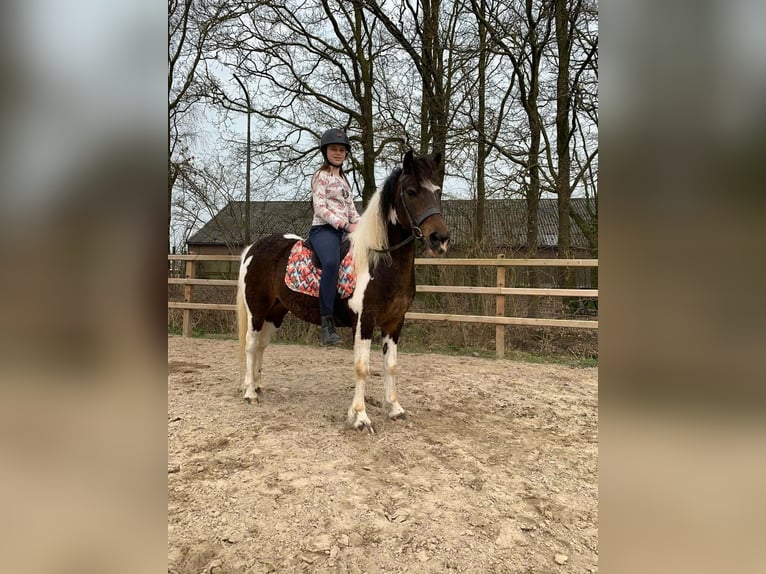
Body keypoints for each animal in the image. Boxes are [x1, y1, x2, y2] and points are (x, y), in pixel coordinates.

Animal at [236, 150, 450, 432]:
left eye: (437, 191)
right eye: (412, 192)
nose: (440, 238)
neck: (379, 262)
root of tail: (254, 247)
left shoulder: (395, 322)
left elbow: (391, 366)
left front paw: (394, 409)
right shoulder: (364, 321)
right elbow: (362, 367)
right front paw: (360, 418)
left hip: (276, 313)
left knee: (261, 346)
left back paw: (258, 386)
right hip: (257, 311)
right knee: (251, 346)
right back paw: (250, 392)